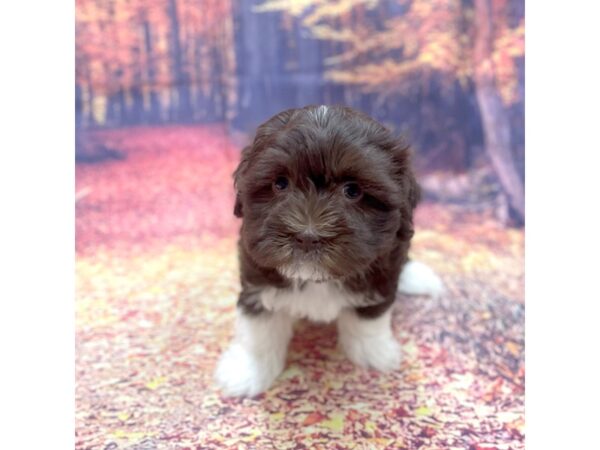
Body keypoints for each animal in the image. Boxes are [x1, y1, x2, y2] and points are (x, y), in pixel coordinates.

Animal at [214, 105, 440, 398]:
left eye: (352, 190)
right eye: (280, 184)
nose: (308, 237)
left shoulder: (382, 271)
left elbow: (369, 317)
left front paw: (372, 353)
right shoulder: (258, 277)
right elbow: (259, 327)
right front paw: (249, 370)